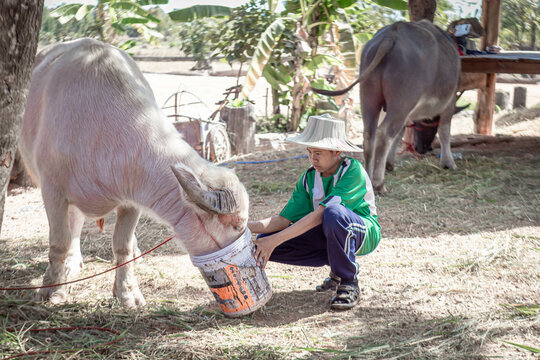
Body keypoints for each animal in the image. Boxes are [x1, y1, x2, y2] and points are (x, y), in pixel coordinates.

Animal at [312, 19, 460, 194]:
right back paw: (378, 183)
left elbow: (401, 133)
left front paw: (390, 164)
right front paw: (448, 163)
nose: (423, 148)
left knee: (370, 135)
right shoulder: (450, 102)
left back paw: (367, 178)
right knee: (385, 134)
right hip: (402, 102)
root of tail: (391, 35)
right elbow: (444, 131)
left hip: (369, 97)